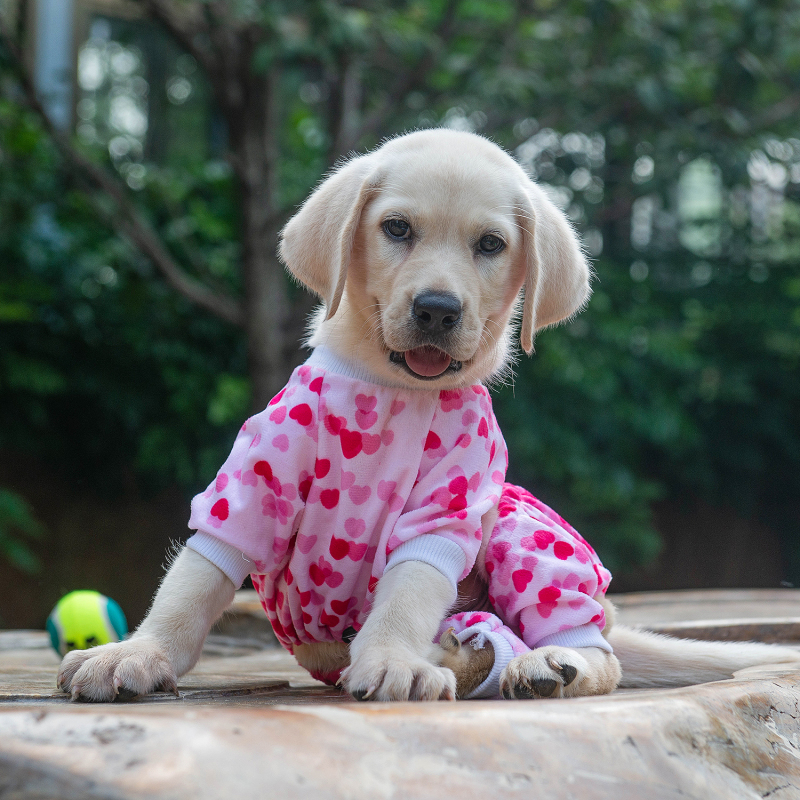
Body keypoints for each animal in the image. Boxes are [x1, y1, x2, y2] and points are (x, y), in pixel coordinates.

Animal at [57, 130, 800, 700]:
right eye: (397, 229)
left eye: (491, 245)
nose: (438, 309)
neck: (391, 391)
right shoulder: (250, 486)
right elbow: (193, 585)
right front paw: (135, 654)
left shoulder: (448, 507)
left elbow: (408, 590)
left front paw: (392, 661)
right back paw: (467, 658)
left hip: (523, 527)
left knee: (598, 656)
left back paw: (542, 664)